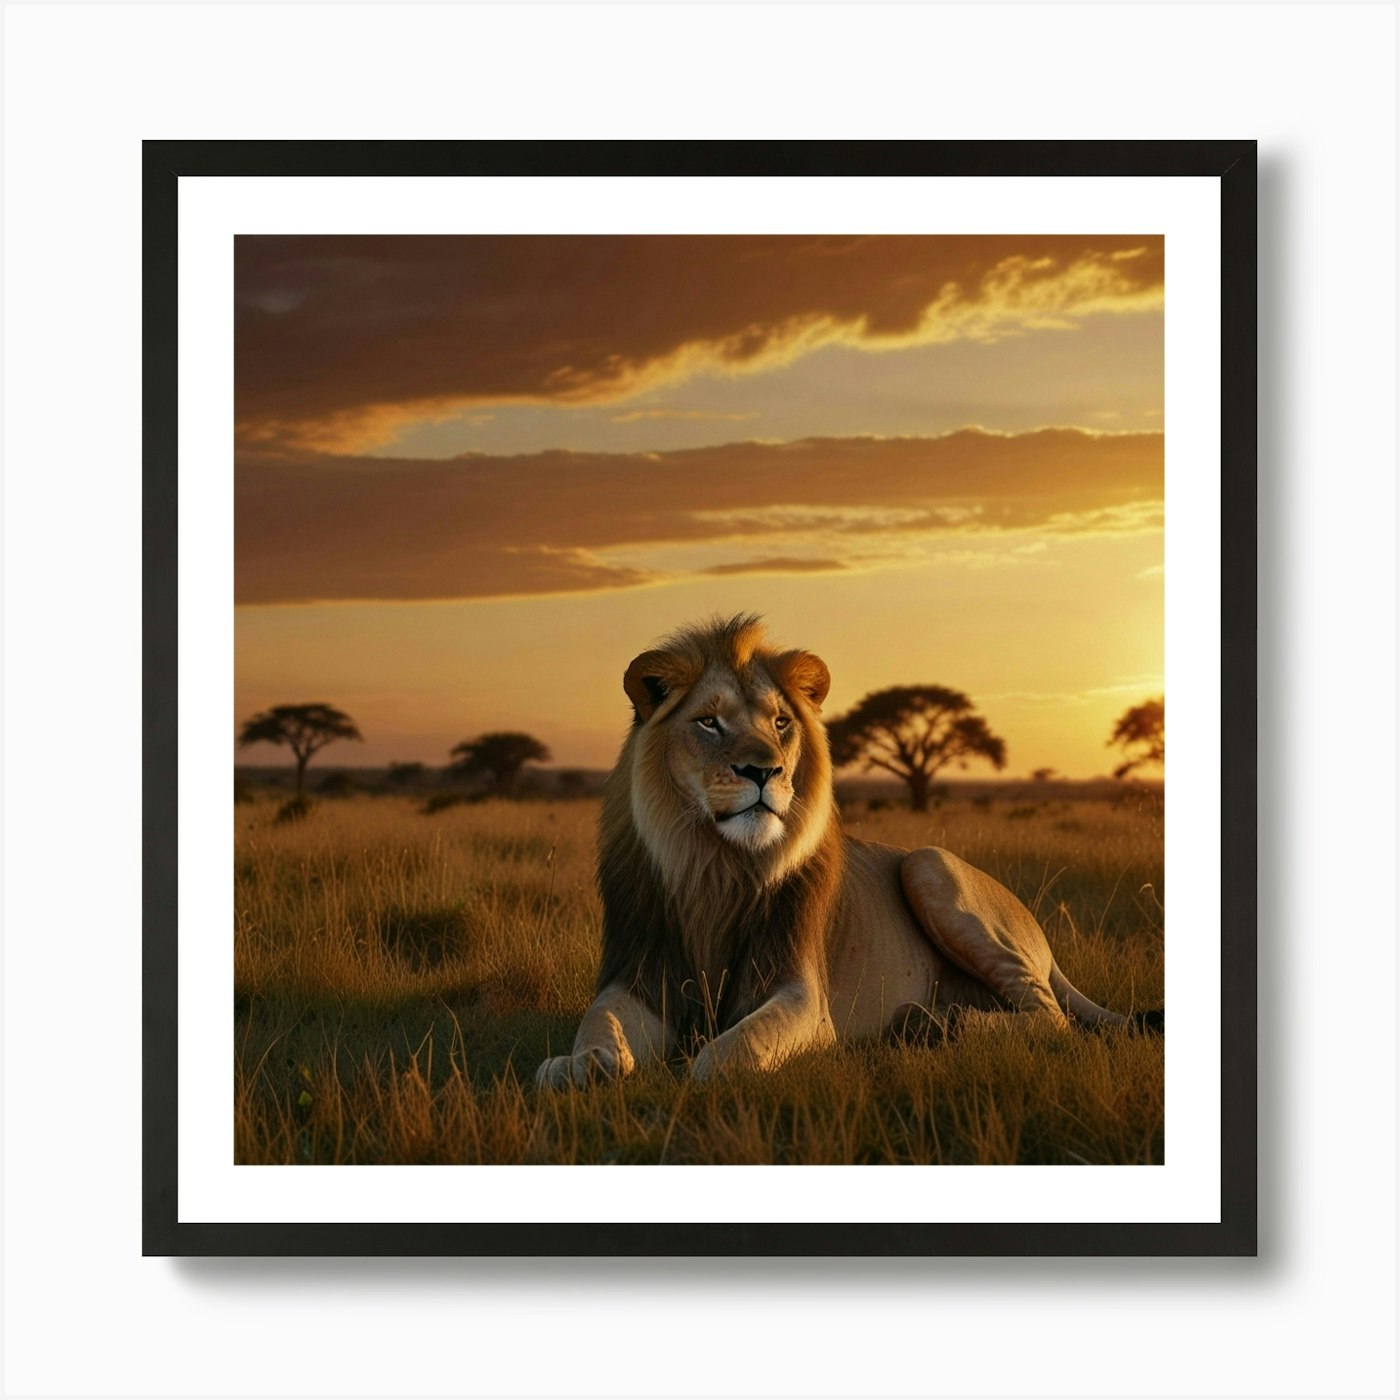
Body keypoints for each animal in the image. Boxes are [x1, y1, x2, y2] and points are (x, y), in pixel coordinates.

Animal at [537, 614, 1153, 1088]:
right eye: (708, 722)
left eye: (780, 722)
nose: (764, 771)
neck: (715, 867)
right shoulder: (640, 975)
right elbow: (599, 1019)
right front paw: (578, 1064)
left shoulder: (802, 996)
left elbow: (732, 1051)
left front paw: (693, 1068)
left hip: (928, 863)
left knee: (1051, 1019)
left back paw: (937, 1025)